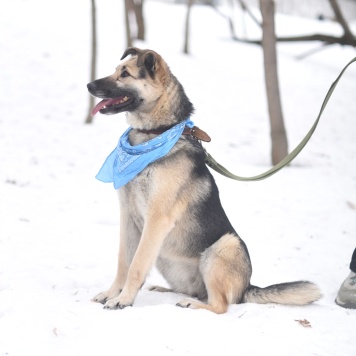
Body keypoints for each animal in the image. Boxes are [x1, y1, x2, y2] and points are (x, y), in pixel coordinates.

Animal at [87, 48, 322, 314]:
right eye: (117, 70)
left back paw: (193, 304)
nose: (89, 85)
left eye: (125, 74)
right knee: (196, 291)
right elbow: (123, 262)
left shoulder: (156, 219)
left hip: (225, 245)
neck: (156, 134)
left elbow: (136, 264)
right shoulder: (128, 216)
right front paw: (112, 293)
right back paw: (164, 290)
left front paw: (123, 300)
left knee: (220, 305)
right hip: (168, 259)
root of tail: (247, 287)